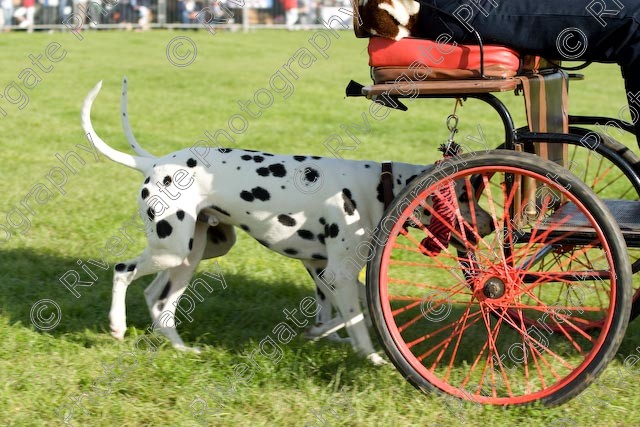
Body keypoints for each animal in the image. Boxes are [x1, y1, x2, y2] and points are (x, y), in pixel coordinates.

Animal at [81, 81, 496, 368]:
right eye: (464, 196)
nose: (492, 223)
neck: (379, 186)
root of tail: (153, 163)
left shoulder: (324, 273)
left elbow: (343, 316)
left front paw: (322, 335)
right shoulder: (339, 275)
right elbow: (358, 321)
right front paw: (372, 357)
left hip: (190, 255)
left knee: (159, 302)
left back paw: (182, 348)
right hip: (171, 250)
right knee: (123, 271)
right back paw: (117, 325)